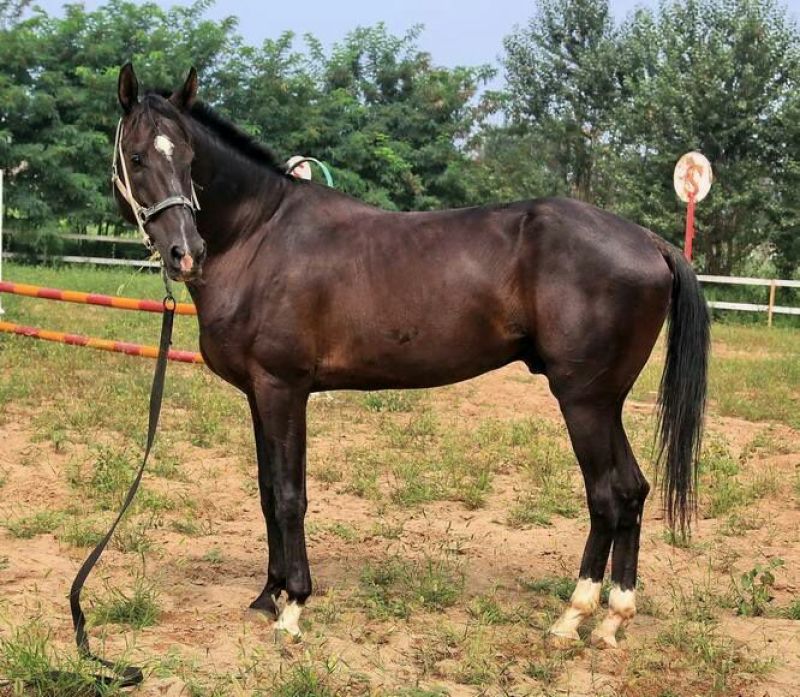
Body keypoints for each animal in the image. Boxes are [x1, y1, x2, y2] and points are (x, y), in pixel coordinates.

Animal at [112, 63, 709, 648]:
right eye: (137, 157)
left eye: (189, 159)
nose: (185, 252)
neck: (260, 236)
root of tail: (651, 242)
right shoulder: (259, 395)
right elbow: (265, 491)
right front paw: (268, 596)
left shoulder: (284, 388)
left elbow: (289, 495)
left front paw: (294, 605)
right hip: (606, 403)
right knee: (632, 491)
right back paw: (612, 620)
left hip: (585, 402)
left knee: (608, 495)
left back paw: (572, 616)